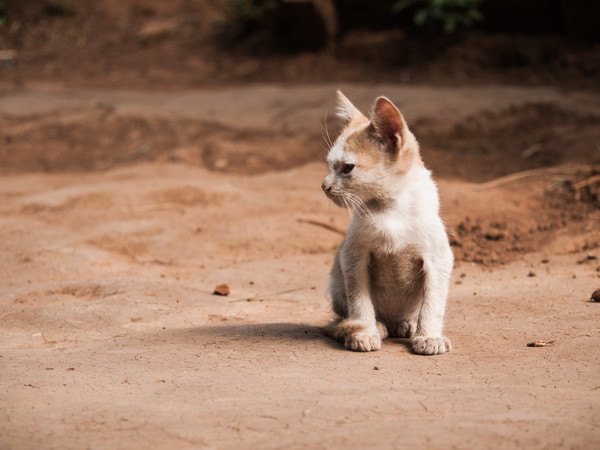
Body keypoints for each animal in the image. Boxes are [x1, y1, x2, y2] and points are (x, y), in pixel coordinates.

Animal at [322, 91, 452, 356]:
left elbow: (433, 304)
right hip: (336, 281)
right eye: (330, 165)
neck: (391, 212)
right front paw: (364, 332)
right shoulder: (353, 256)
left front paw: (430, 336)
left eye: (347, 168)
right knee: (341, 318)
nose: (324, 185)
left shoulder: (439, 260)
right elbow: (359, 300)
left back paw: (407, 324)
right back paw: (373, 326)